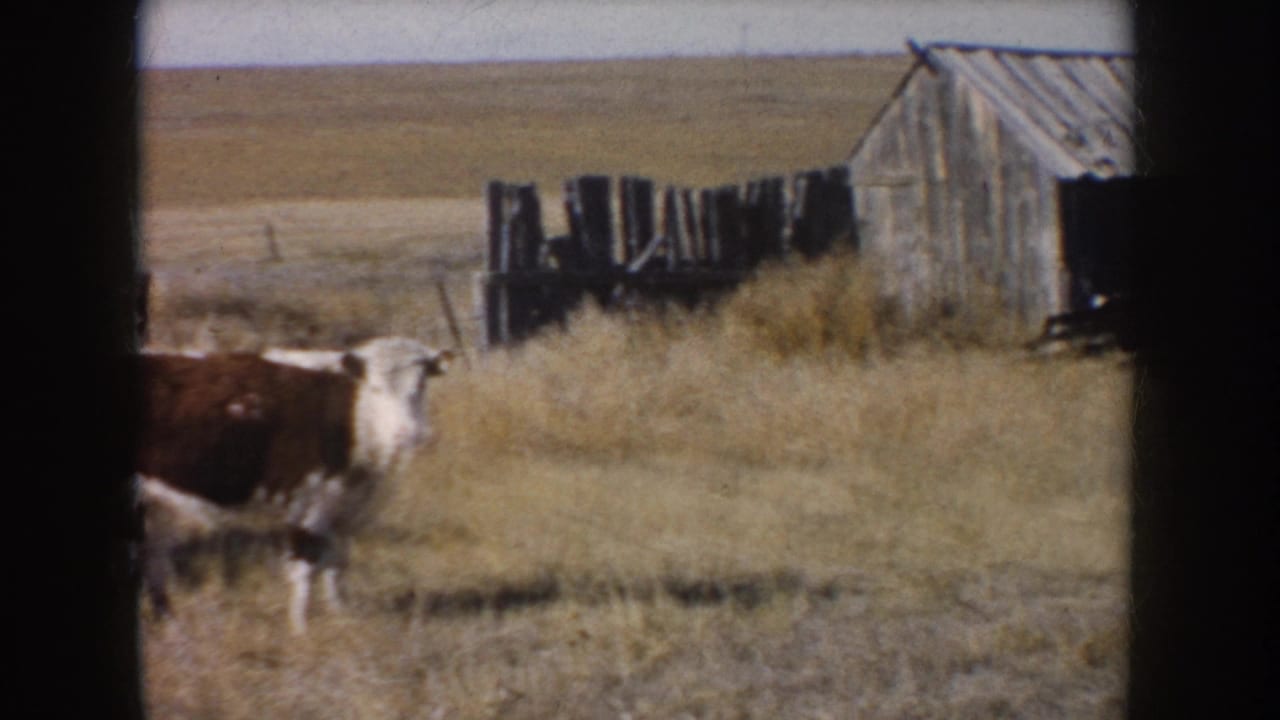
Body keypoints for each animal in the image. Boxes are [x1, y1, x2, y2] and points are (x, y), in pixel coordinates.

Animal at [136, 336, 453, 634]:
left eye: (421, 383)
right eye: (375, 388)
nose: (406, 434)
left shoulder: (346, 509)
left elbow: (337, 562)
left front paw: (340, 614)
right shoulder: (309, 503)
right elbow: (306, 566)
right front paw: (301, 628)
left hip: (156, 504)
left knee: (155, 557)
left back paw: (170, 621)